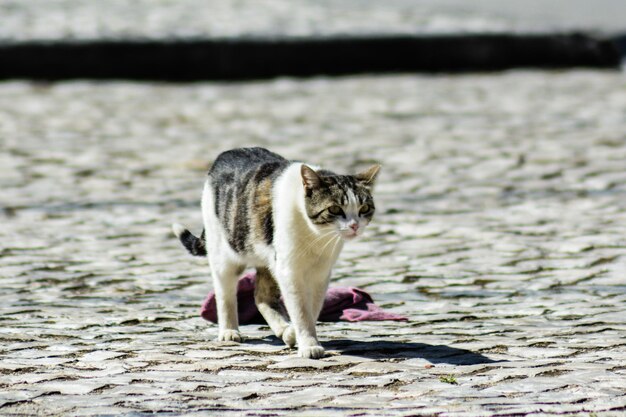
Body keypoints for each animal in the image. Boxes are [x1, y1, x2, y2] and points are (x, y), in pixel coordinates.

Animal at [172, 147, 380, 358]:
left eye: (364, 208)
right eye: (335, 209)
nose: (354, 225)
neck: (317, 236)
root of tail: (226, 154)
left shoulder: (320, 274)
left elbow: (312, 309)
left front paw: (297, 334)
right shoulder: (290, 272)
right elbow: (301, 311)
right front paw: (309, 344)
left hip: (269, 260)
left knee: (261, 297)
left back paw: (285, 330)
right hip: (225, 254)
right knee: (225, 294)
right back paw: (229, 331)